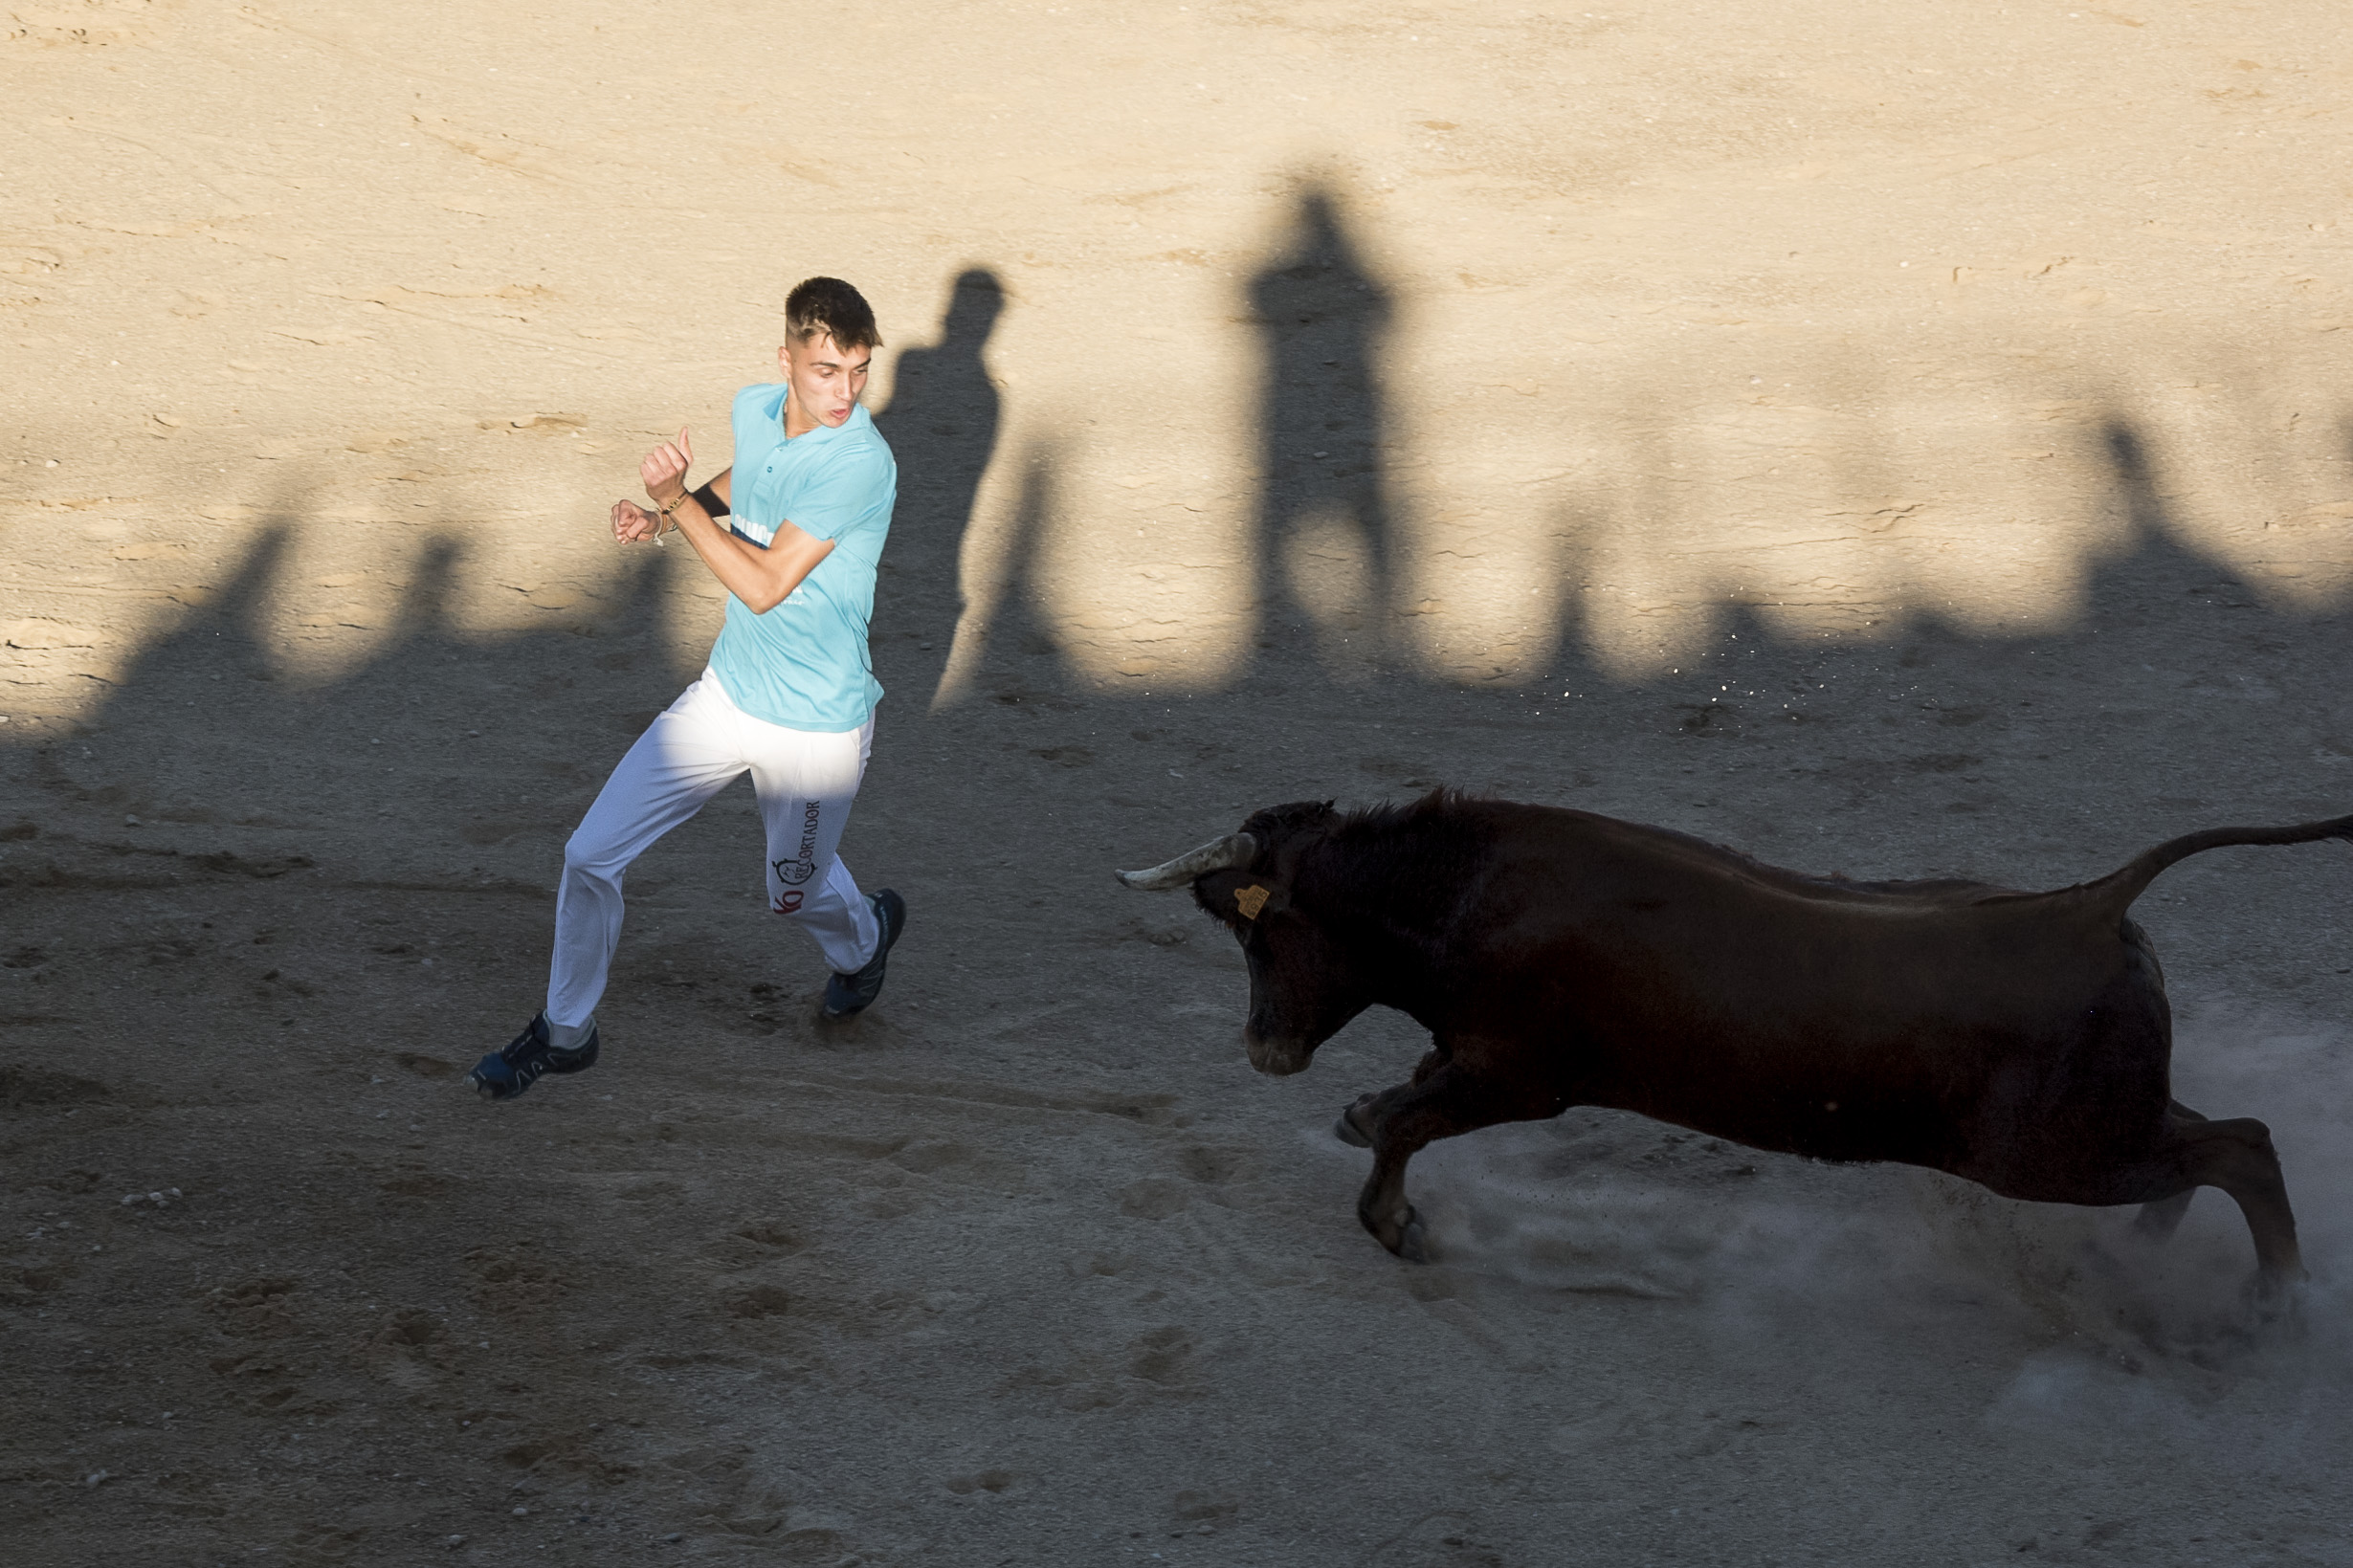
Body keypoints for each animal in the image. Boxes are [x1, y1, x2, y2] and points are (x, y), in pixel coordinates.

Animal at [1115, 799, 2334, 1297]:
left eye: (1256, 927)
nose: (1263, 1048)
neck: (1457, 891)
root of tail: (2085, 906)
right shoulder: (1472, 1063)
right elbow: (1399, 1112)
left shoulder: (1516, 1077)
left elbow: (1397, 1118)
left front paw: (1392, 1219)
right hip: (2099, 1124)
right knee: (2210, 1141)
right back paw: (2151, 1255)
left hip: (2053, 1152)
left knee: (2240, 1146)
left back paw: (2274, 1306)